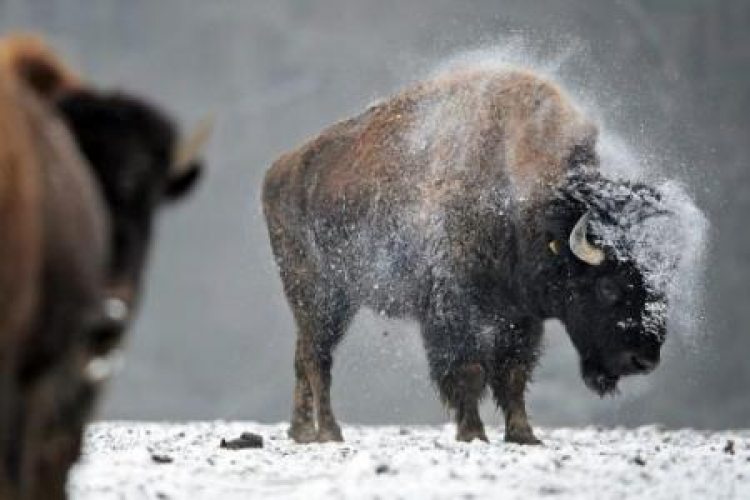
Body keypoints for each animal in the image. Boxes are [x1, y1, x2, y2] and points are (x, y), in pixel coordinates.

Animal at [264, 66, 688, 446]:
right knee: (317, 360)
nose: (644, 360)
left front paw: (524, 435)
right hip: (320, 296)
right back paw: (329, 433)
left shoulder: (520, 318)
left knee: (303, 358)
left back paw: (302, 433)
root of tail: (279, 169)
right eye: (608, 286)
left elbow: (512, 375)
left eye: (662, 282)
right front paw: (473, 433)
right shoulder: (453, 312)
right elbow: (468, 370)